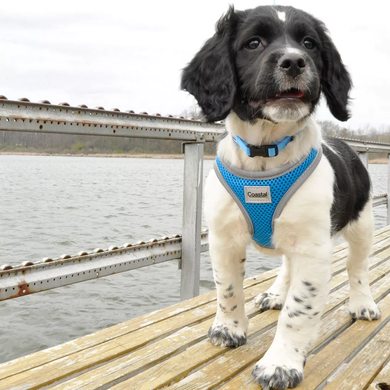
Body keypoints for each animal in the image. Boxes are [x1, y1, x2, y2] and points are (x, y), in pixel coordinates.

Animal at [182, 3, 380, 390]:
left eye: (309, 43)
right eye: (253, 43)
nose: (294, 61)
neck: (265, 153)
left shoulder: (314, 247)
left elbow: (299, 311)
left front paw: (280, 364)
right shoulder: (223, 238)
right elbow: (227, 289)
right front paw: (229, 329)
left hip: (362, 223)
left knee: (357, 267)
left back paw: (362, 303)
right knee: (287, 265)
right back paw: (275, 293)